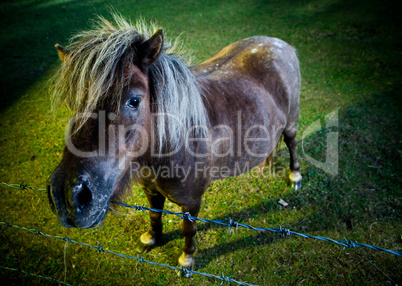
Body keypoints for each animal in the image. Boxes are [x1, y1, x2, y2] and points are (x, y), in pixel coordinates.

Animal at [47, 15, 300, 270]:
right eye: (73, 103)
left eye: (134, 100)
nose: (67, 196)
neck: (172, 146)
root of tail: (278, 43)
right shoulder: (150, 190)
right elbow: (154, 215)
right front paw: (151, 238)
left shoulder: (192, 203)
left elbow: (188, 230)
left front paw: (186, 260)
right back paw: (265, 164)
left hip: (291, 122)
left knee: (291, 143)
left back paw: (295, 177)